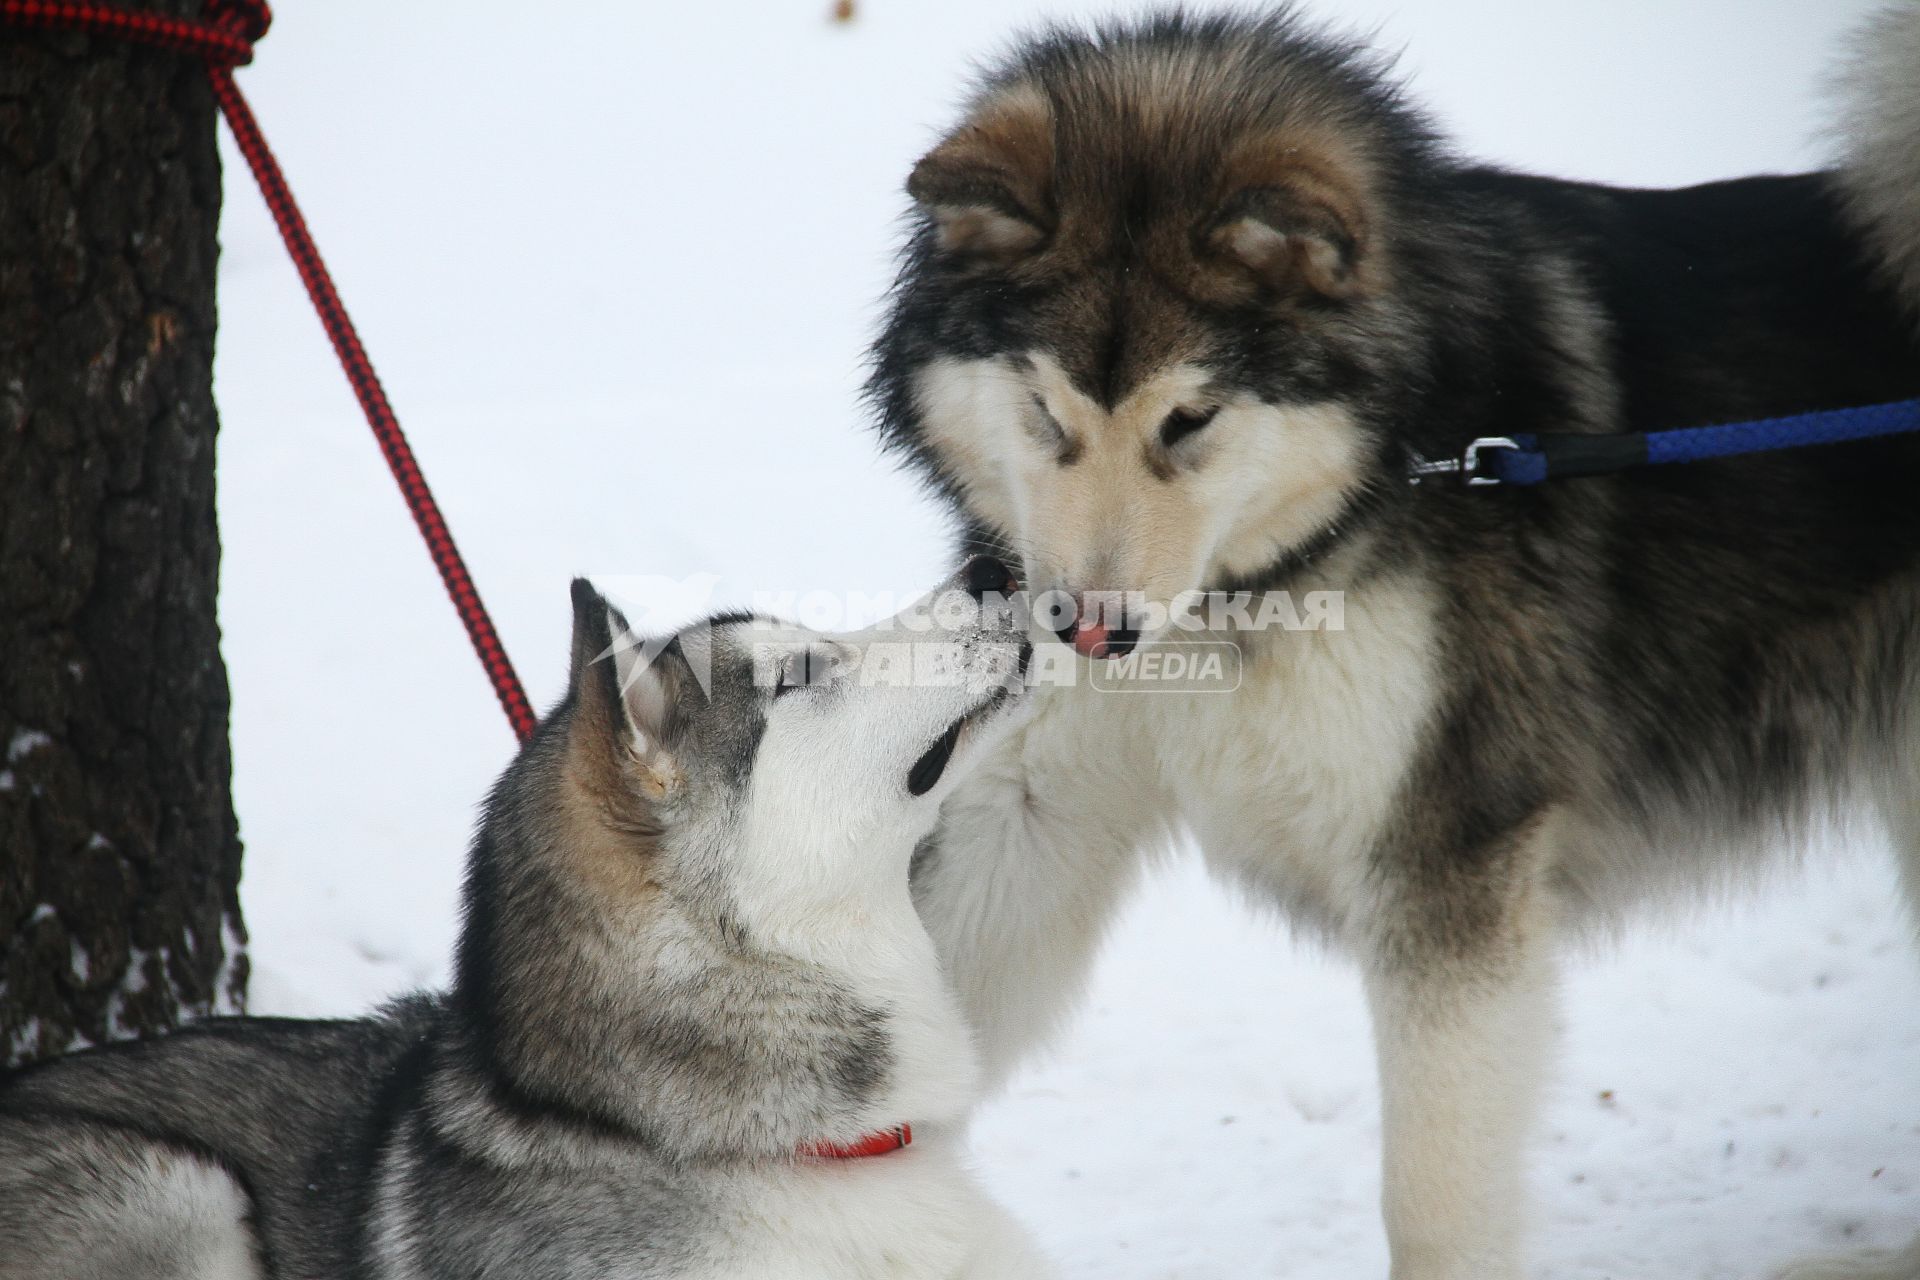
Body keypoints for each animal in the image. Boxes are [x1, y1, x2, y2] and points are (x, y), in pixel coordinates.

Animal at [871, 10, 1920, 1280]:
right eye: (1043, 411)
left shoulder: (1447, 863)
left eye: (1190, 419)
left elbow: (1432, 1202)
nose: (1089, 628)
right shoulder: (1030, 814)